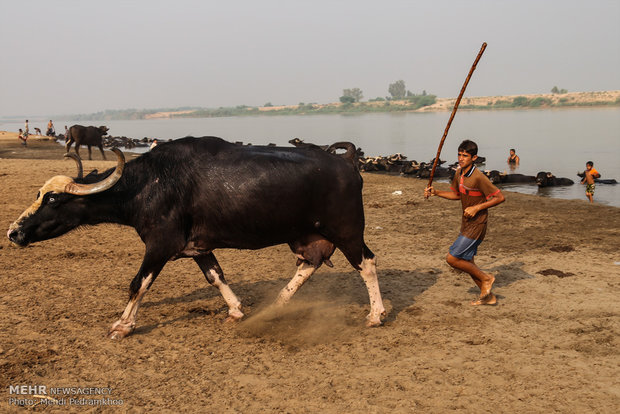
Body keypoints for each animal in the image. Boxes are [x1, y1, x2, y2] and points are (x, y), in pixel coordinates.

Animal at [7, 137, 386, 338]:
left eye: (53, 199)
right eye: (39, 193)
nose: (13, 232)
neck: (148, 184)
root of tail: (347, 162)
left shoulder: (159, 245)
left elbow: (138, 283)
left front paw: (123, 325)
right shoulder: (199, 247)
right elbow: (216, 276)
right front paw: (236, 310)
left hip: (347, 231)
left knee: (366, 263)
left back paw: (376, 314)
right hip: (308, 236)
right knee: (308, 265)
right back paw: (276, 306)